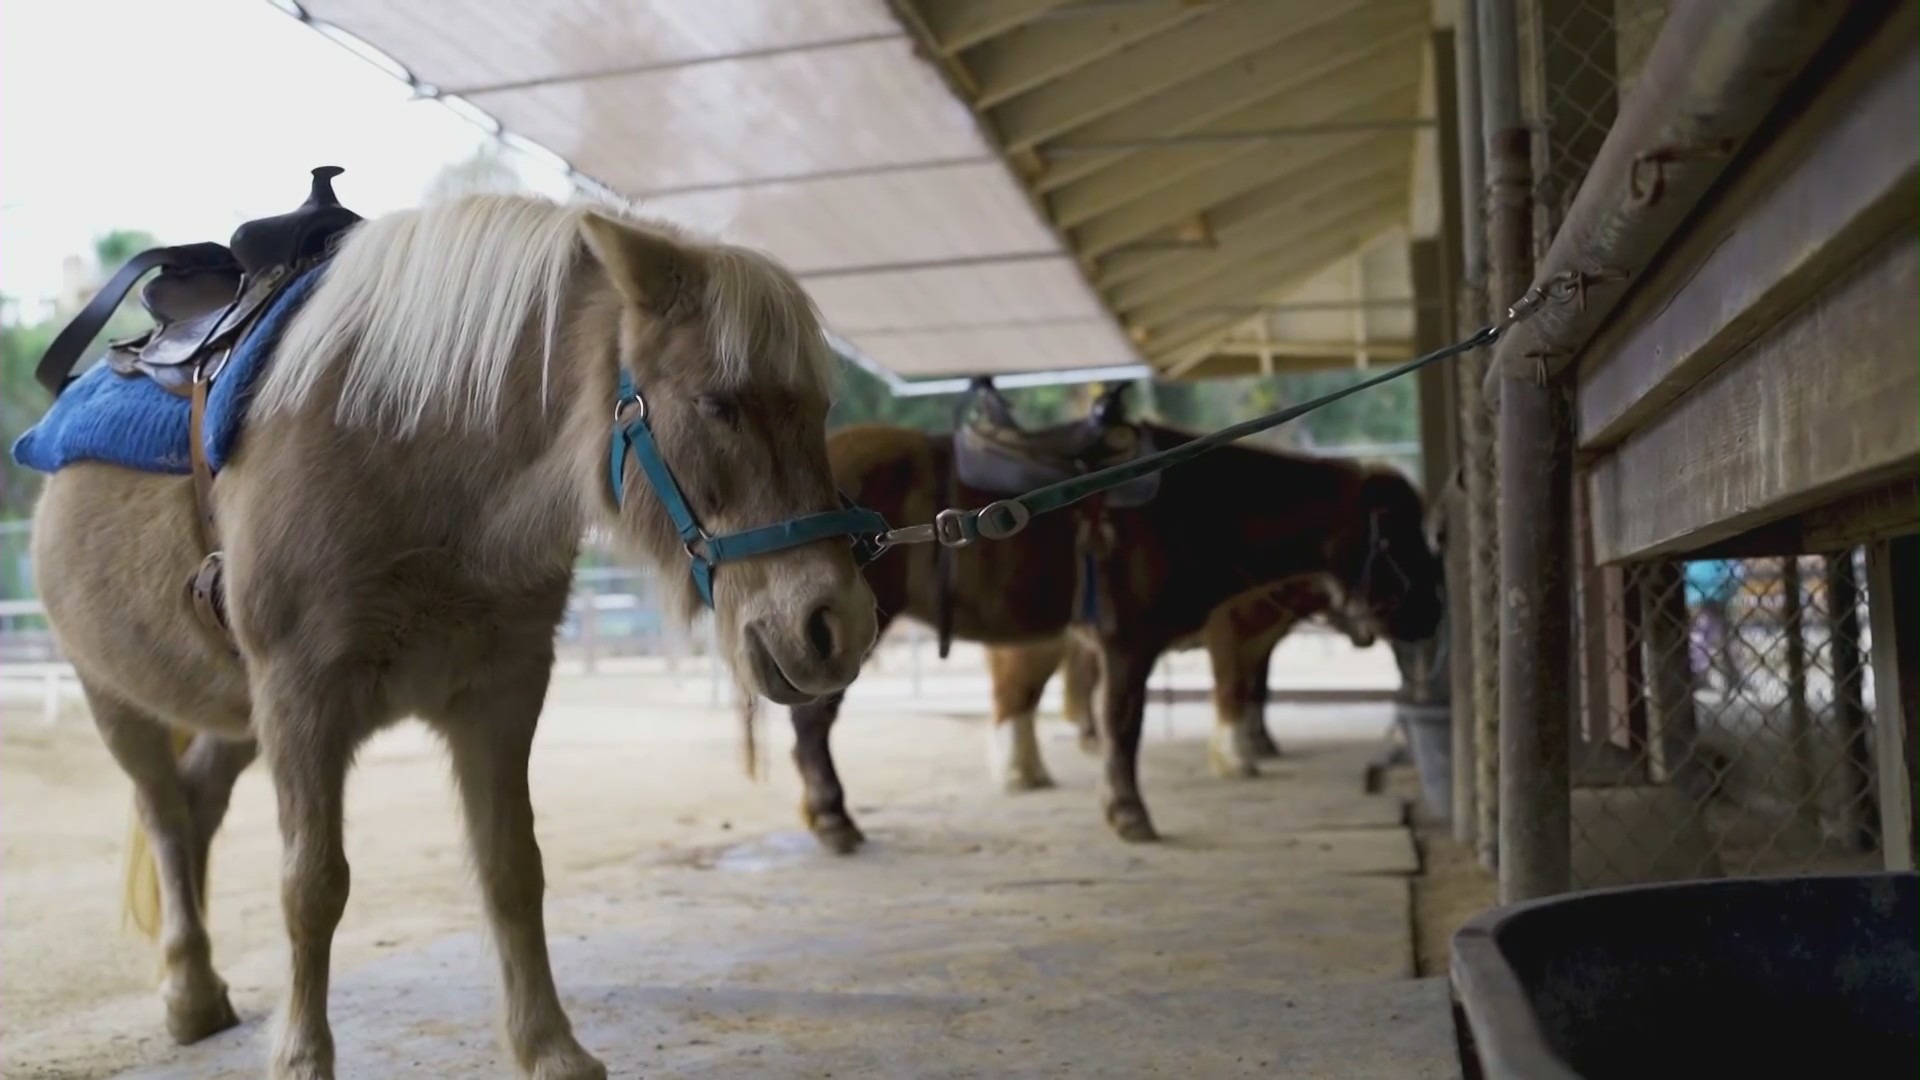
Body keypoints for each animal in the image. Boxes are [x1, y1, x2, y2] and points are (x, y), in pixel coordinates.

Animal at [26, 193, 879, 1076]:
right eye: (718, 403)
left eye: (819, 409)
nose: (835, 624)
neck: (412, 457)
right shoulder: (301, 701)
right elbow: (312, 887)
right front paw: (302, 1058)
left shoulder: (500, 691)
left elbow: (513, 868)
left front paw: (550, 1047)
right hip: (115, 699)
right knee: (164, 812)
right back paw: (188, 993)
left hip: (235, 718)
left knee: (196, 805)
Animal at [783, 420, 1443, 849]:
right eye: (1397, 532)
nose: (1432, 611)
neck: (1193, 502)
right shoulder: (1130, 643)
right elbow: (1124, 726)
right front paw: (1129, 813)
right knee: (814, 723)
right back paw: (835, 820)